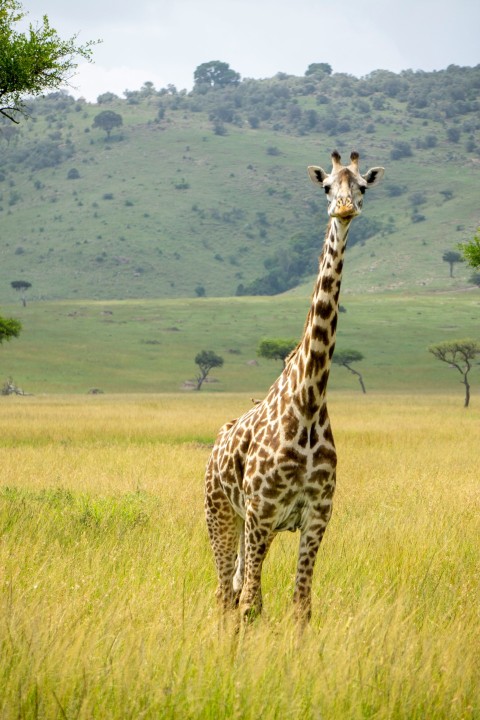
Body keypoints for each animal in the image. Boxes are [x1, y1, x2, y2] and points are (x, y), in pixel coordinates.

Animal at [204, 149, 384, 620]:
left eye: (362, 185)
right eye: (327, 187)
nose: (345, 208)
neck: (308, 400)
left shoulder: (318, 515)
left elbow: (301, 603)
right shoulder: (262, 512)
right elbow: (252, 603)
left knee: (234, 587)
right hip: (221, 513)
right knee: (226, 592)